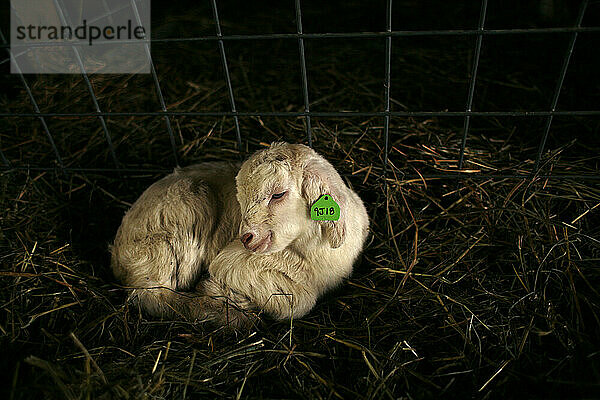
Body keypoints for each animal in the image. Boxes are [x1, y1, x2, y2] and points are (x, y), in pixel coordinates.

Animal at [110, 142, 368, 326]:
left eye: (278, 194)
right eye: (241, 200)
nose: (246, 238)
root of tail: (117, 255)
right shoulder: (231, 262)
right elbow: (299, 302)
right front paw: (221, 293)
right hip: (178, 222)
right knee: (154, 296)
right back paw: (223, 314)